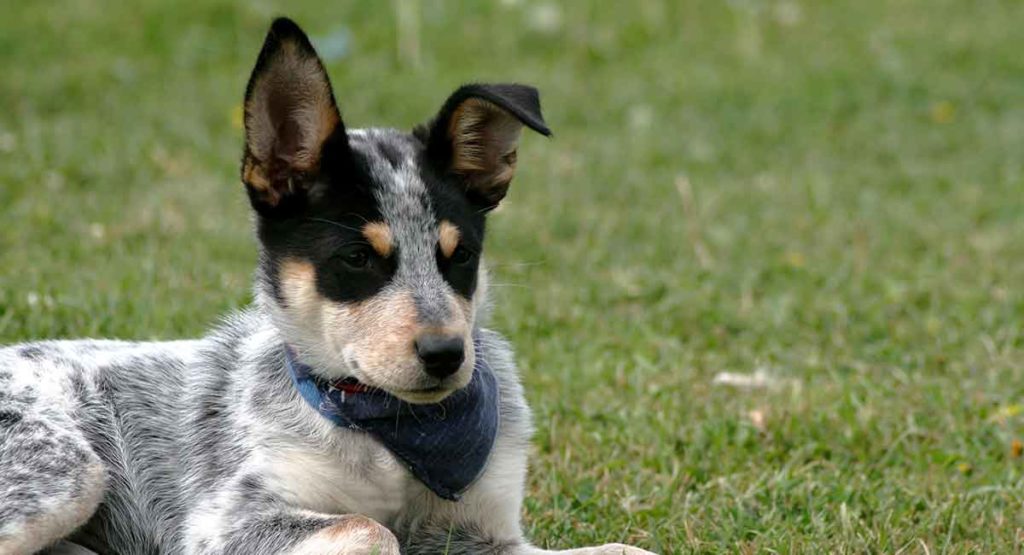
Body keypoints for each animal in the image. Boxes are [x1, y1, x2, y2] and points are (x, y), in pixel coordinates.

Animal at [0, 17, 655, 555]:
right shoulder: (225, 523)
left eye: (461, 256)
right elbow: (374, 529)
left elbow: (625, 549)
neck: (392, 432)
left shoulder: (485, 534)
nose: (446, 354)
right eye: (357, 258)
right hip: (71, 471)